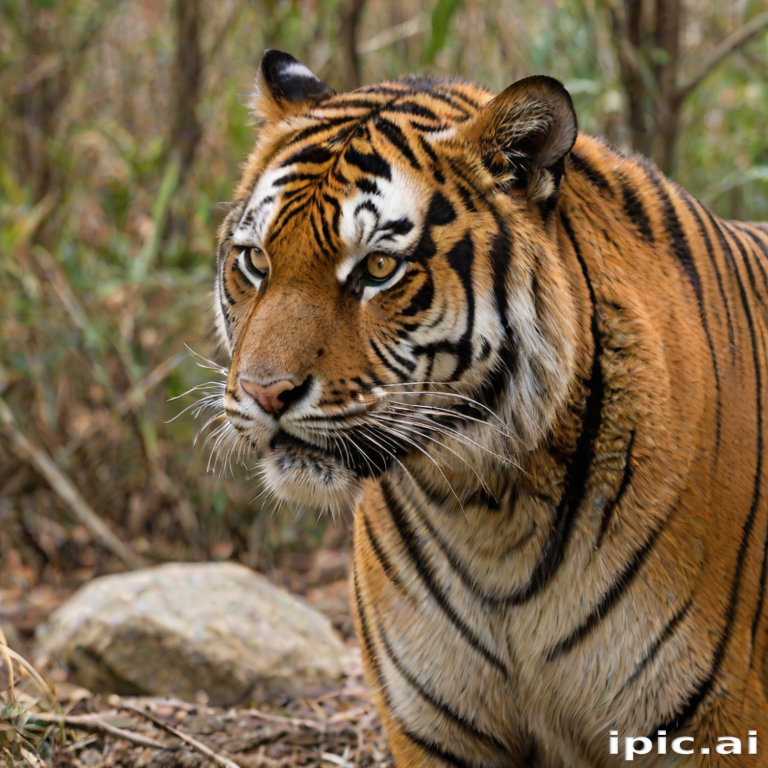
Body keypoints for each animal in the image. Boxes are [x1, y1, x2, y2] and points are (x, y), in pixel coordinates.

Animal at [211, 49, 768, 766]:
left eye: (379, 268)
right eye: (255, 260)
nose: (264, 392)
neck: (487, 511)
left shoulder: (717, 723)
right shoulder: (433, 729)